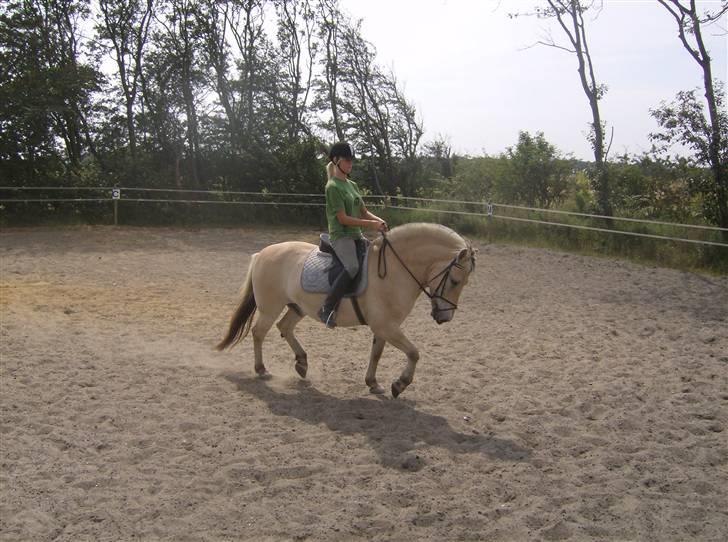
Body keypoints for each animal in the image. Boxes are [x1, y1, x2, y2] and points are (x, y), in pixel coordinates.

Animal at [216, 222, 478, 400]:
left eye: (465, 283)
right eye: (455, 281)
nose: (445, 317)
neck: (395, 271)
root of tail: (262, 253)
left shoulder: (384, 327)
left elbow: (376, 354)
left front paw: (373, 383)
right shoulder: (387, 326)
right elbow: (414, 353)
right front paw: (399, 384)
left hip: (298, 307)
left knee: (285, 327)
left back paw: (302, 363)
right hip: (271, 307)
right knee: (259, 332)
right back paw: (262, 370)